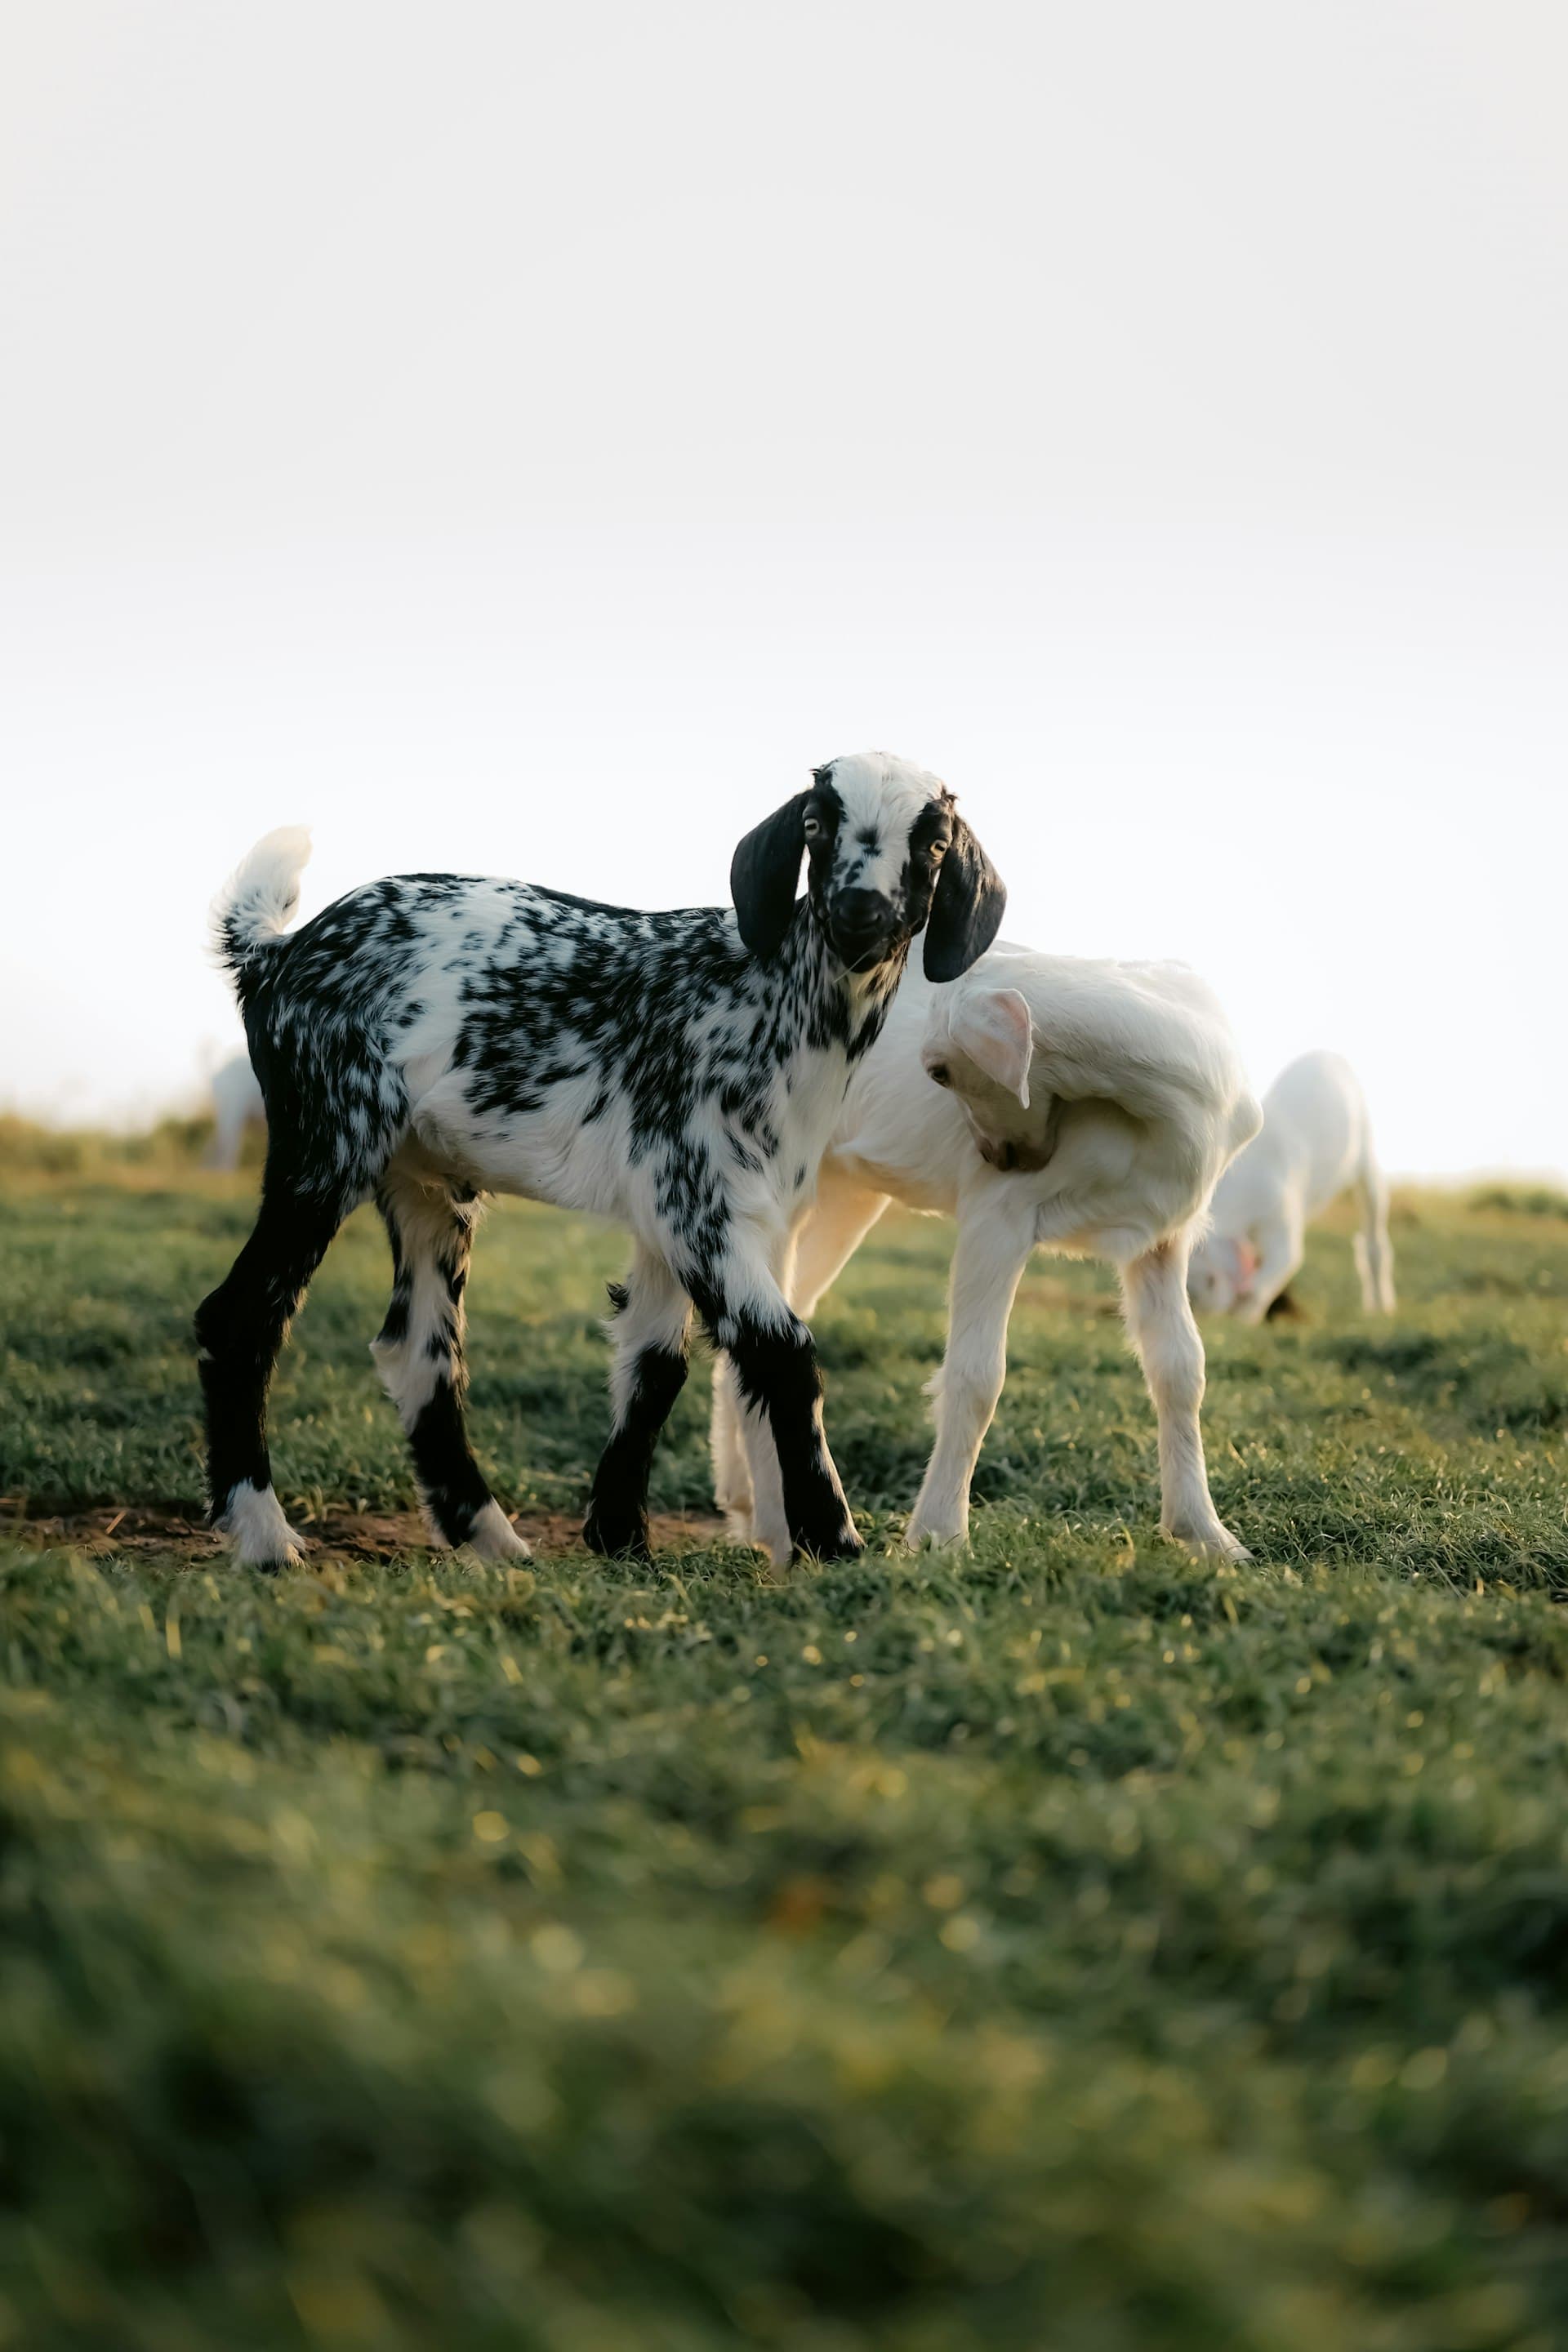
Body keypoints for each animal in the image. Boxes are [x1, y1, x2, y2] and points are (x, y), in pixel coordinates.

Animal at [196, 753, 1004, 1569]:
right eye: (815, 824)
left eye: (935, 844)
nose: (861, 909)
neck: (770, 995)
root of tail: (275, 953)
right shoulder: (694, 1196)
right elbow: (782, 1349)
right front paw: (832, 1537)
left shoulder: (670, 1208)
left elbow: (655, 1362)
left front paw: (620, 1538)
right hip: (329, 1136)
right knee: (242, 1317)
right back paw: (265, 1537)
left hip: (424, 1179)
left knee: (420, 1353)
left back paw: (491, 1539)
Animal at [711, 946, 1261, 1562]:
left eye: (939, 1070)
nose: (999, 1155)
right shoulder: (998, 1215)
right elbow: (977, 1376)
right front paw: (939, 1537)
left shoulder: (1163, 1235)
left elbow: (1181, 1369)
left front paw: (1209, 1537)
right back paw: (776, 1527)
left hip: (844, 1193)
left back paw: (746, 1506)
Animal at [1187, 1050, 1394, 1322]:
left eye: (1210, 1280)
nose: (1198, 1302)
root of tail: (1331, 1055)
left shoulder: (1281, 1212)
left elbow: (1283, 1263)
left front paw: (1246, 1319)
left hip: (1366, 1154)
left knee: (1374, 1234)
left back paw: (1380, 1307)